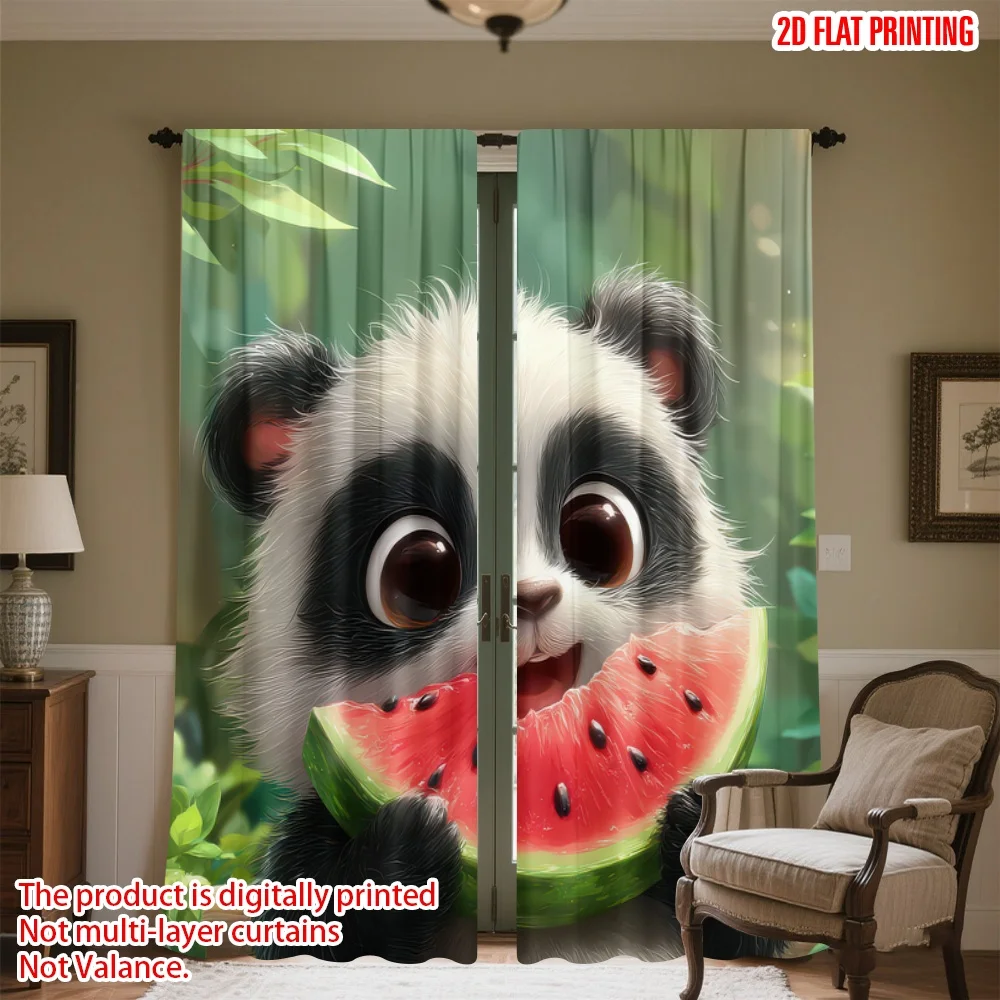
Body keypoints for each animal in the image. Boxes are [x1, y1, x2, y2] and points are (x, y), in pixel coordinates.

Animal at [201, 270, 783, 964]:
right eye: (418, 573)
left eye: (597, 534)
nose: (523, 598)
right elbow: (302, 925)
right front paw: (406, 850)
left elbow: (747, 915)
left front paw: (694, 820)